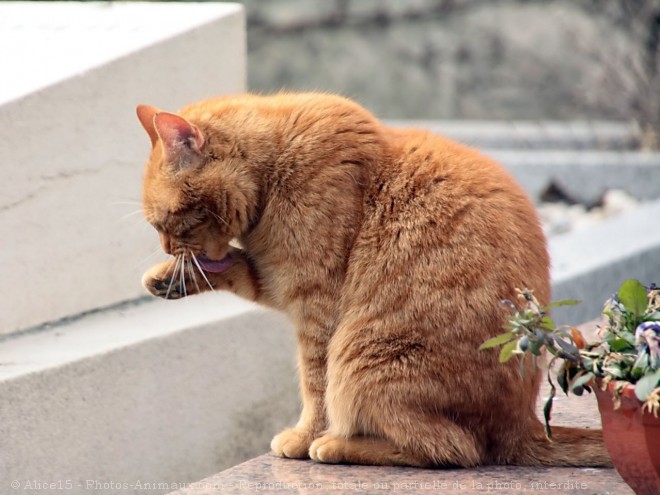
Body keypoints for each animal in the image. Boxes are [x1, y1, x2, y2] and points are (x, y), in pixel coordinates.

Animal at [137, 93, 612, 468]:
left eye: (165, 223)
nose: (165, 249)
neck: (274, 167)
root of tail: (524, 424)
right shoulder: (274, 279)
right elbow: (231, 268)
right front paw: (166, 279)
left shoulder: (313, 303)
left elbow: (314, 387)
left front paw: (304, 436)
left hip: (358, 356)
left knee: (456, 450)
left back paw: (335, 445)